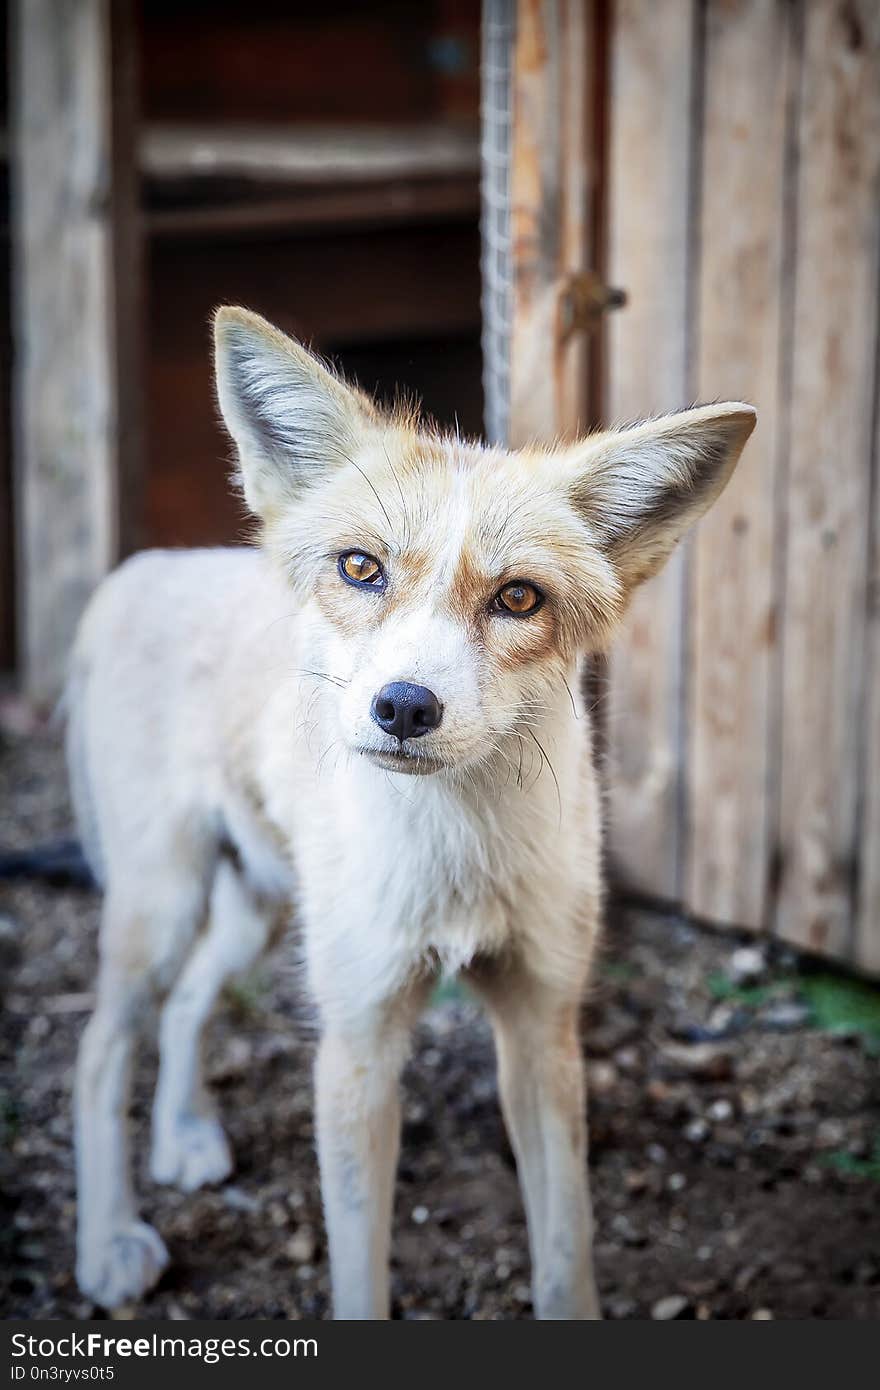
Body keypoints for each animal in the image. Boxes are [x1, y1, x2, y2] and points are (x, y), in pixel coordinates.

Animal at [70, 304, 756, 1312]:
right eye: (362, 568)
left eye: (519, 598)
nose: (402, 708)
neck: (455, 858)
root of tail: (145, 564)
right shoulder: (357, 1038)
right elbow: (361, 1277)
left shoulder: (541, 1023)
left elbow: (566, 1252)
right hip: (163, 905)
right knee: (101, 1049)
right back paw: (109, 1240)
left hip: (259, 911)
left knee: (188, 1001)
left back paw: (184, 1134)